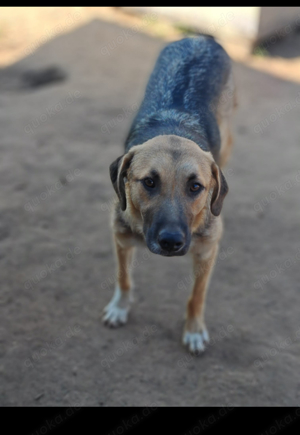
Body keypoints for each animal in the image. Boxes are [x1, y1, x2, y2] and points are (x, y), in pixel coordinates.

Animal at [104, 35, 236, 356]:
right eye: (149, 182)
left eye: (196, 187)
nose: (171, 242)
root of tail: (201, 37)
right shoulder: (120, 237)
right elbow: (123, 278)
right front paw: (120, 307)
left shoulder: (207, 251)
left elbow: (197, 296)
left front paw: (194, 330)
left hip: (227, 138)